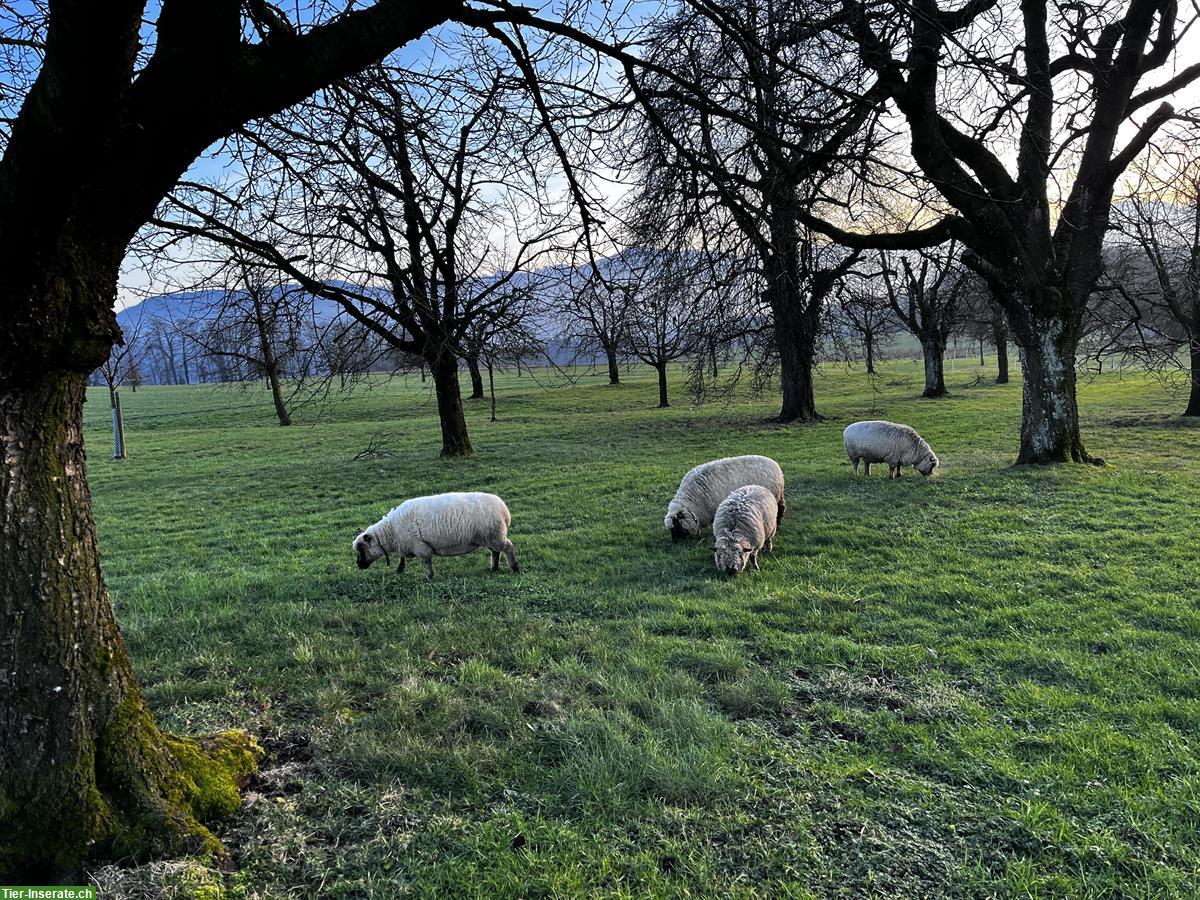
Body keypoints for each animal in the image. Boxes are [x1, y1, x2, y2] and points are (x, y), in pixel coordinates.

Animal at [348, 489, 516, 580]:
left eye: (361, 547)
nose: (359, 565)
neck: (391, 532)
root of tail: (504, 510)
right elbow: (405, 560)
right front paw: (401, 569)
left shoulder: (420, 545)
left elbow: (427, 561)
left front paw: (429, 576)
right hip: (492, 536)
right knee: (495, 551)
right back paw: (494, 568)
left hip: (494, 535)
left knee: (508, 548)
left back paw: (515, 568)